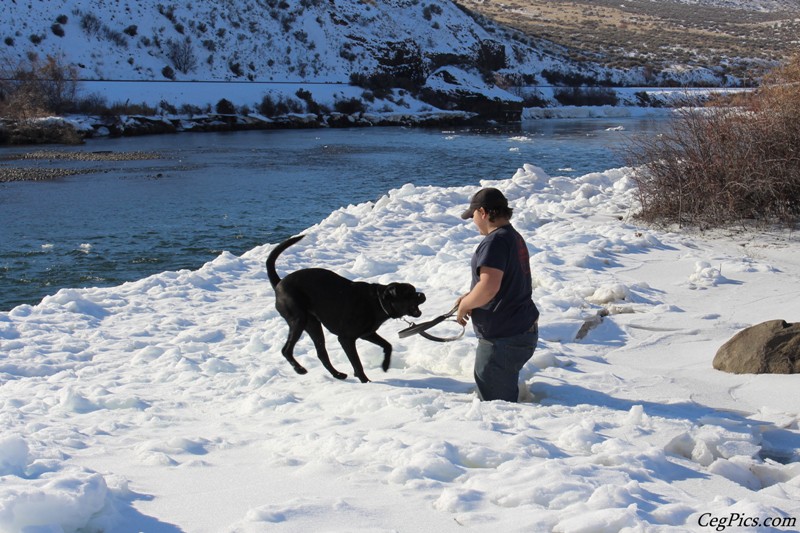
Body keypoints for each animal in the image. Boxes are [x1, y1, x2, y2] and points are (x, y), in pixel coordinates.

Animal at [266, 235, 424, 380]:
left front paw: (385, 366)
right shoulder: (346, 339)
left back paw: (337, 374)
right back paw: (299, 369)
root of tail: (278, 284)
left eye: (414, 290)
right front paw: (365, 381)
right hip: (299, 320)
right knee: (286, 350)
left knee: (321, 353)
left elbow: (387, 345)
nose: (422, 294)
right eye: (409, 293)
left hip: (313, 324)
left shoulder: (367, 333)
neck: (378, 302)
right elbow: (357, 363)